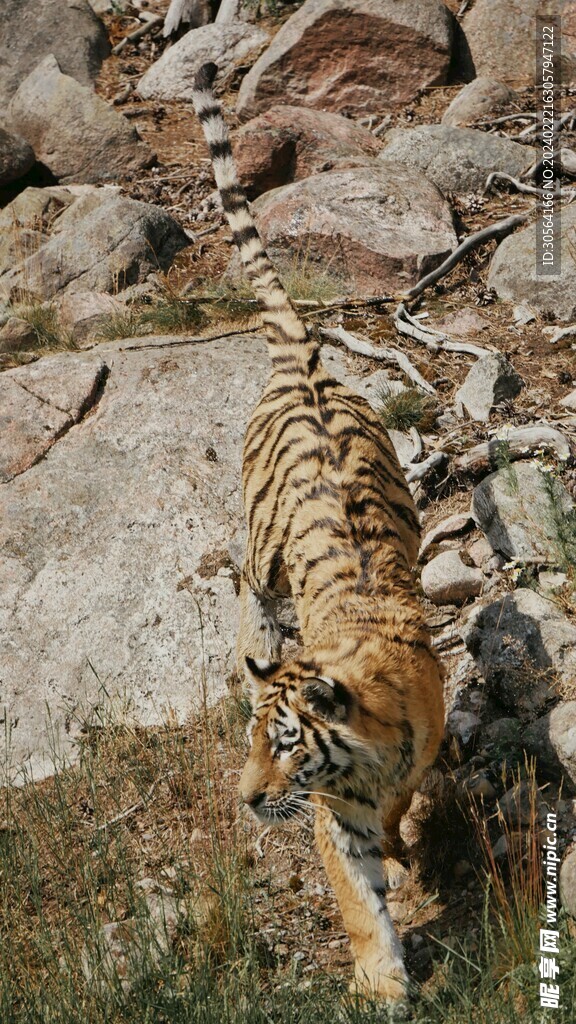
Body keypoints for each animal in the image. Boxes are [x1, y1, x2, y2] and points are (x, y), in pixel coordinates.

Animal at [192, 62, 444, 1005]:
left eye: (286, 747)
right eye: (252, 745)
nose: (246, 799)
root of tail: (303, 356)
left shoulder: (406, 765)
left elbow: (399, 818)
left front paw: (404, 864)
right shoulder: (333, 818)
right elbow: (355, 896)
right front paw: (380, 980)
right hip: (263, 556)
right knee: (246, 591)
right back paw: (251, 648)